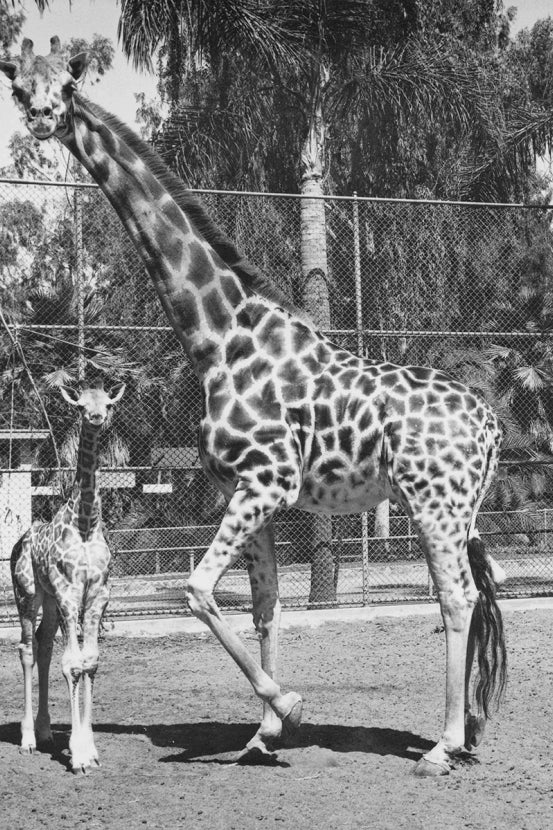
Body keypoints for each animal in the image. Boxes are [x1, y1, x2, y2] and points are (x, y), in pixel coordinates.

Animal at [10, 380, 125, 774]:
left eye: (107, 403)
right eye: (79, 405)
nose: (96, 417)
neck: (87, 523)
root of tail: (19, 543)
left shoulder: (98, 594)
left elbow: (90, 662)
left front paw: (89, 748)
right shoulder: (68, 592)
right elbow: (72, 664)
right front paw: (78, 754)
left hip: (47, 600)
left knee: (43, 647)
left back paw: (45, 732)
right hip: (28, 594)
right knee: (27, 649)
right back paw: (28, 739)